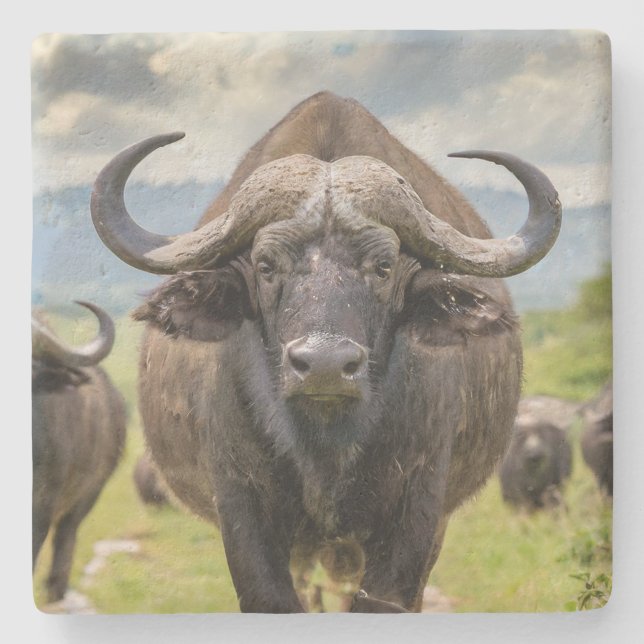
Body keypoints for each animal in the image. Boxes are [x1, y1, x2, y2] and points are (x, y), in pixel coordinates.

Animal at [90, 91, 561, 612]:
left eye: (383, 265)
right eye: (265, 265)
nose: (325, 366)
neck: (325, 444)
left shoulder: (419, 508)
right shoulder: (241, 505)